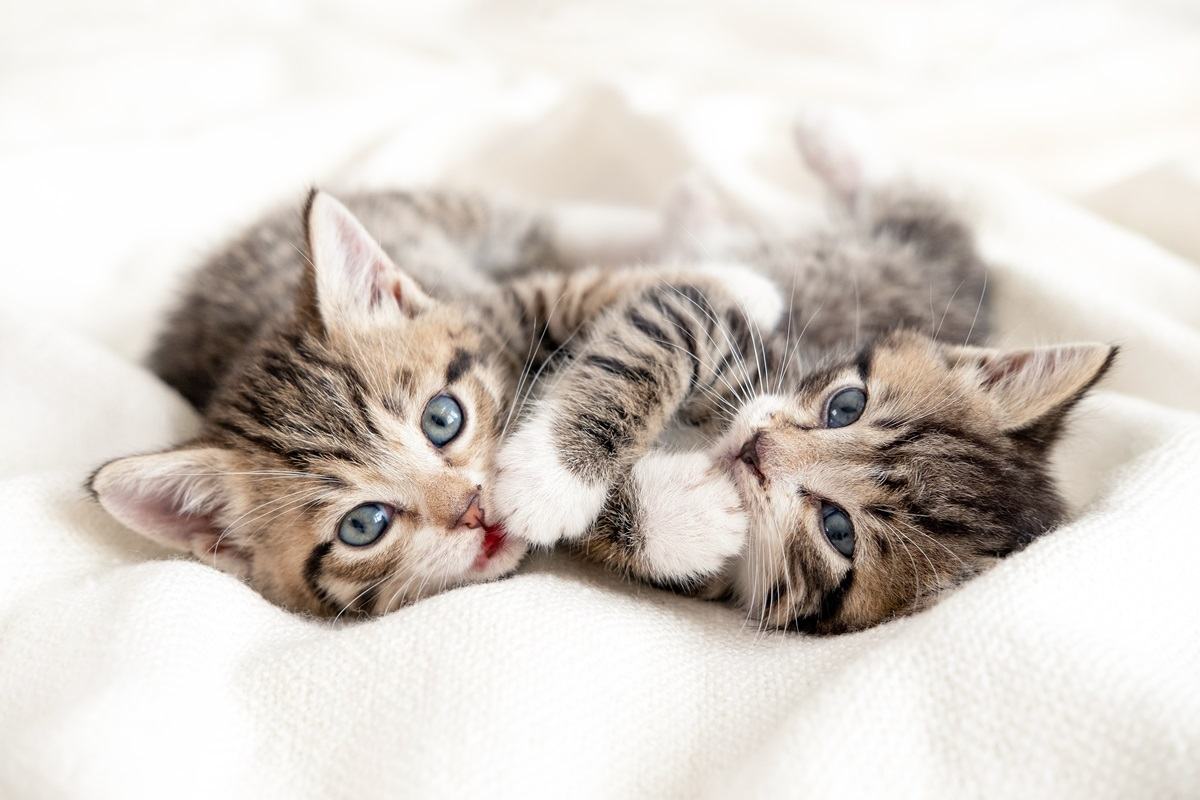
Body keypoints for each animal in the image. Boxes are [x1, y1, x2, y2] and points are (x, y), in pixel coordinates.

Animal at [91, 189, 768, 618]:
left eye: (442, 419)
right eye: (363, 525)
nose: (471, 510)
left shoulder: (497, 306)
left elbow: (582, 295)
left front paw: (738, 282)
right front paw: (688, 515)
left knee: (545, 222)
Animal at [489, 118, 1113, 633]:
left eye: (838, 530)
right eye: (846, 406)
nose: (756, 449)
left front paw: (680, 518)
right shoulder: (701, 313)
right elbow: (649, 346)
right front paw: (550, 479)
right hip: (909, 237)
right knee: (907, 196)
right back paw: (818, 136)